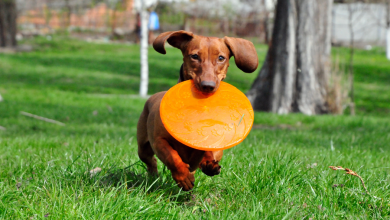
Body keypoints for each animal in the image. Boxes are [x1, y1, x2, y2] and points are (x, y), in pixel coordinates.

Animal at [137, 31, 258, 191]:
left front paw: (208, 163)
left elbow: (209, 151)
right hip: (143, 148)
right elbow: (172, 157)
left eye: (221, 58)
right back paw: (153, 176)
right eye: (194, 56)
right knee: (151, 161)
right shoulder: (159, 141)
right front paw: (183, 177)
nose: (208, 85)